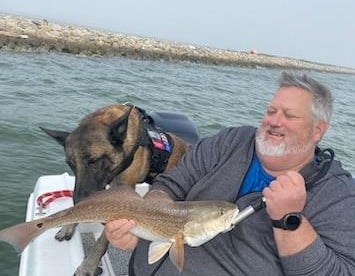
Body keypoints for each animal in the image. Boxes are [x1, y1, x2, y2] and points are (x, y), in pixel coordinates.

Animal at [41, 104, 195, 276]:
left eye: (93, 160)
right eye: (70, 164)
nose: (79, 200)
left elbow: (102, 240)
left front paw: (88, 265)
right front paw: (68, 226)